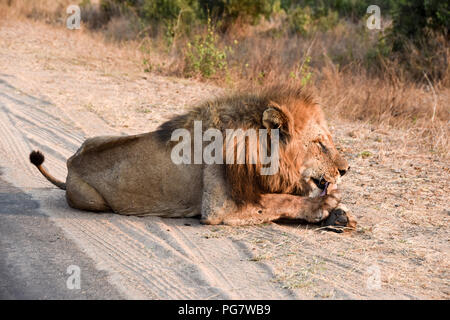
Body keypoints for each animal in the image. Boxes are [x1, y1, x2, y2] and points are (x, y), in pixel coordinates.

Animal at [29, 85, 356, 230]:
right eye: (319, 143)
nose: (346, 169)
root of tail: (70, 163)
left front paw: (340, 217)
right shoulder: (218, 208)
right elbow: (277, 202)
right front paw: (324, 206)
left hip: (96, 137)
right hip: (92, 200)